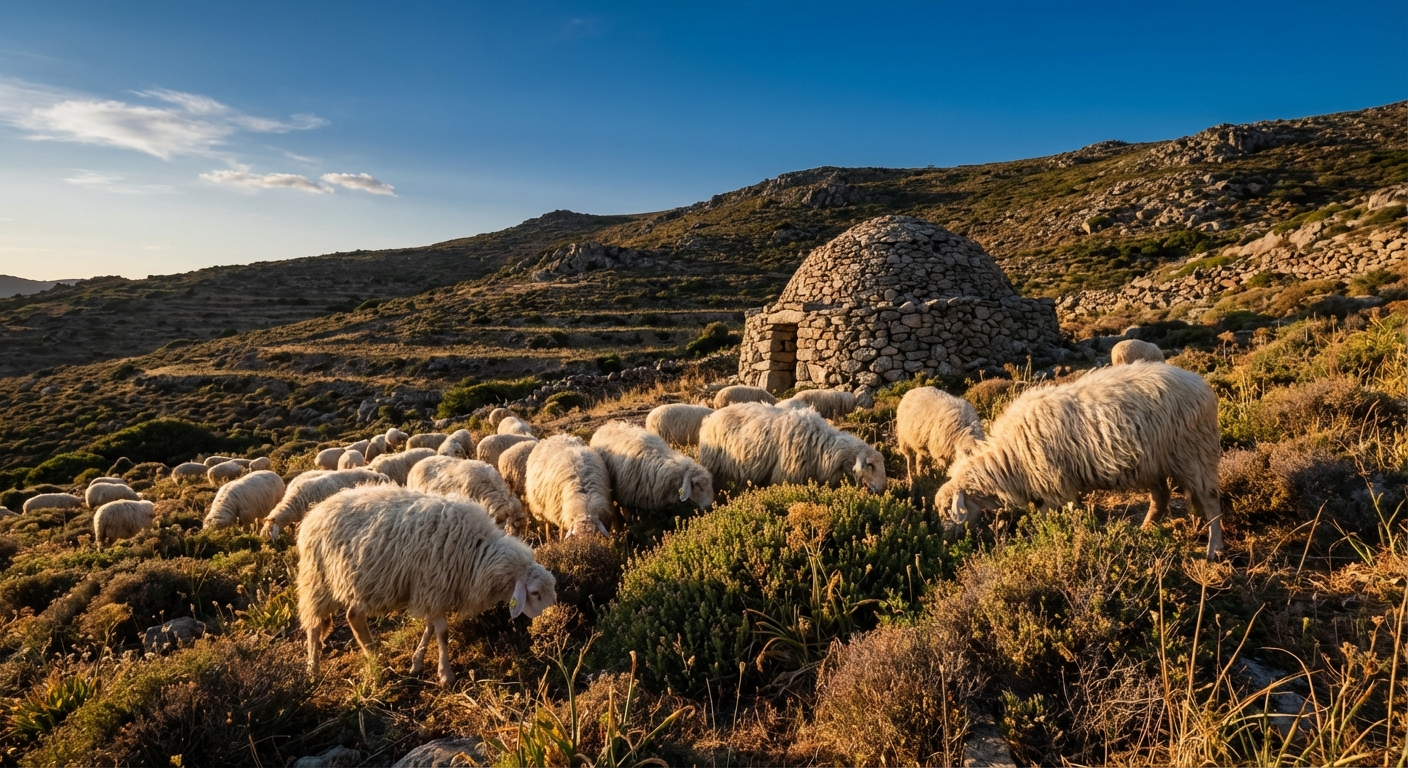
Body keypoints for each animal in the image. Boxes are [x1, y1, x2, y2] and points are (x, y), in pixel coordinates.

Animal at [297, 485, 557, 686]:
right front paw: (446, 675)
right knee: (315, 625)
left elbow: (431, 627)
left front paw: (417, 663)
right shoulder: (432, 586)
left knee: (352, 616)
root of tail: (313, 513)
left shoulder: (430, 592)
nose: (550, 622)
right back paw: (313, 669)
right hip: (318, 580)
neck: (477, 553)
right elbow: (442, 631)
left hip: (358, 584)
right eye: (535, 593)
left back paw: (373, 656)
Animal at [935, 361, 1224, 556]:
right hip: (1151, 463)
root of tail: (1199, 383)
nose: (946, 541)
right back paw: (1144, 530)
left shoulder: (1056, 488)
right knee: (1161, 497)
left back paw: (1215, 548)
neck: (1008, 459)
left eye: (948, 510)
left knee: (1210, 500)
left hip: (1194, 452)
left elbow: (1046, 518)